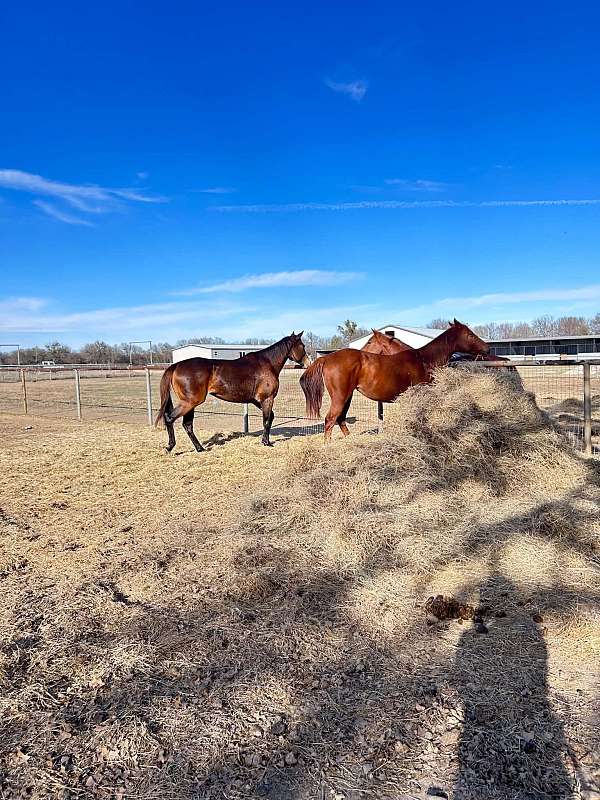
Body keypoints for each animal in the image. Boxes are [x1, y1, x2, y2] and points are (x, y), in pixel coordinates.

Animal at [156, 332, 309, 452]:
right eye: (302, 346)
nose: (308, 363)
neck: (268, 364)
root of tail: (177, 365)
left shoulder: (257, 401)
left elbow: (270, 417)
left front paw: (265, 440)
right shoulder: (267, 398)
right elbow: (266, 420)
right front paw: (267, 442)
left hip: (190, 403)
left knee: (187, 425)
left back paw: (200, 448)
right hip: (190, 402)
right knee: (170, 418)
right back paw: (170, 446)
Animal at [300, 320, 489, 440]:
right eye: (470, 335)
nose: (487, 348)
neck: (423, 359)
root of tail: (327, 358)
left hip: (347, 396)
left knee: (340, 419)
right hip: (340, 397)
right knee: (330, 420)